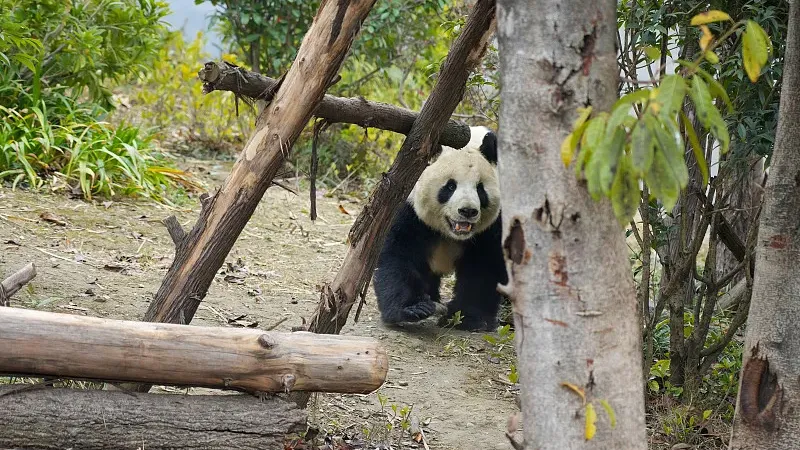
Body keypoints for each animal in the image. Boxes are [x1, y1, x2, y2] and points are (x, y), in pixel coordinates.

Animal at [373, 126, 507, 332]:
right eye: (450, 186)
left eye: (480, 189)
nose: (467, 211)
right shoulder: (410, 210)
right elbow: (398, 254)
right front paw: (414, 308)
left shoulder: (493, 225)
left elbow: (484, 265)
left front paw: (468, 318)